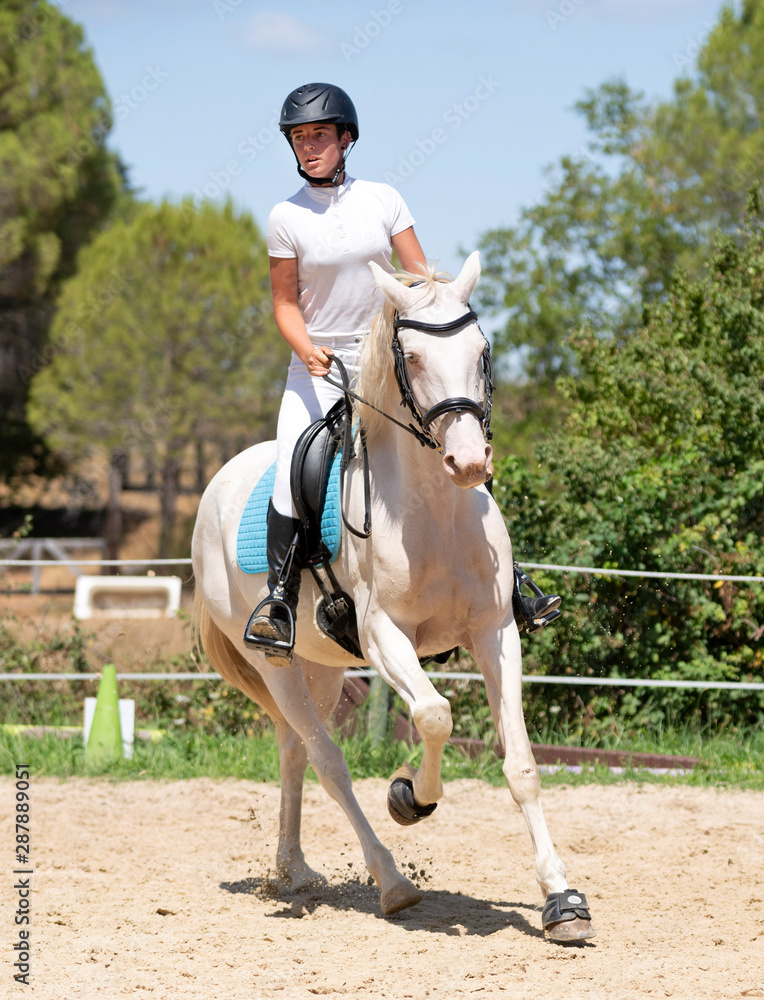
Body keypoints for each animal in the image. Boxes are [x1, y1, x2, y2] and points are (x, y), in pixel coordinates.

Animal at [191, 251, 595, 941]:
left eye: (483, 351)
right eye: (412, 358)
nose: (469, 463)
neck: (434, 511)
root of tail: (219, 481)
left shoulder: (496, 632)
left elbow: (520, 763)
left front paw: (561, 900)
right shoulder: (384, 637)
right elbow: (434, 715)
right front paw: (410, 797)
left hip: (321, 667)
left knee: (294, 752)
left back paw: (294, 872)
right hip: (274, 663)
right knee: (328, 761)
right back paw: (392, 881)